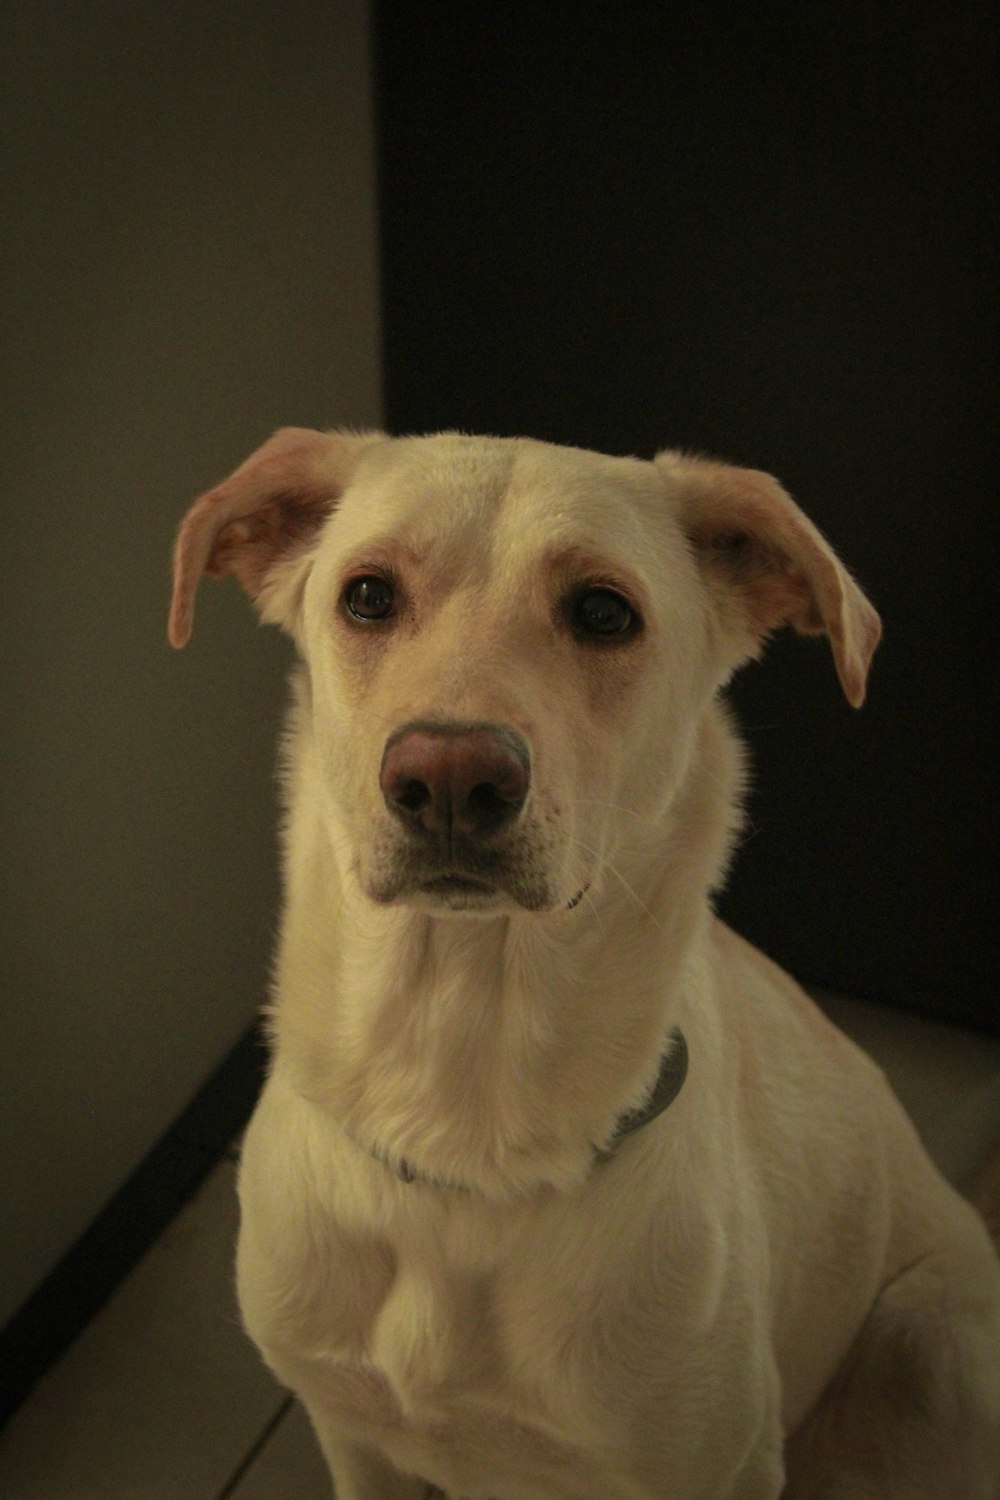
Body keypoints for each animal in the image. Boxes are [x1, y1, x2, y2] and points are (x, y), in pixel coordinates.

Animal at [170, 432, 1000, 1500]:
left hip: (932, 1346)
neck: (462, 1124)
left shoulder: (714, 1467)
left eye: (604, 613)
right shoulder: (352, 1435)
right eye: (367, 596)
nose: (449, 777)